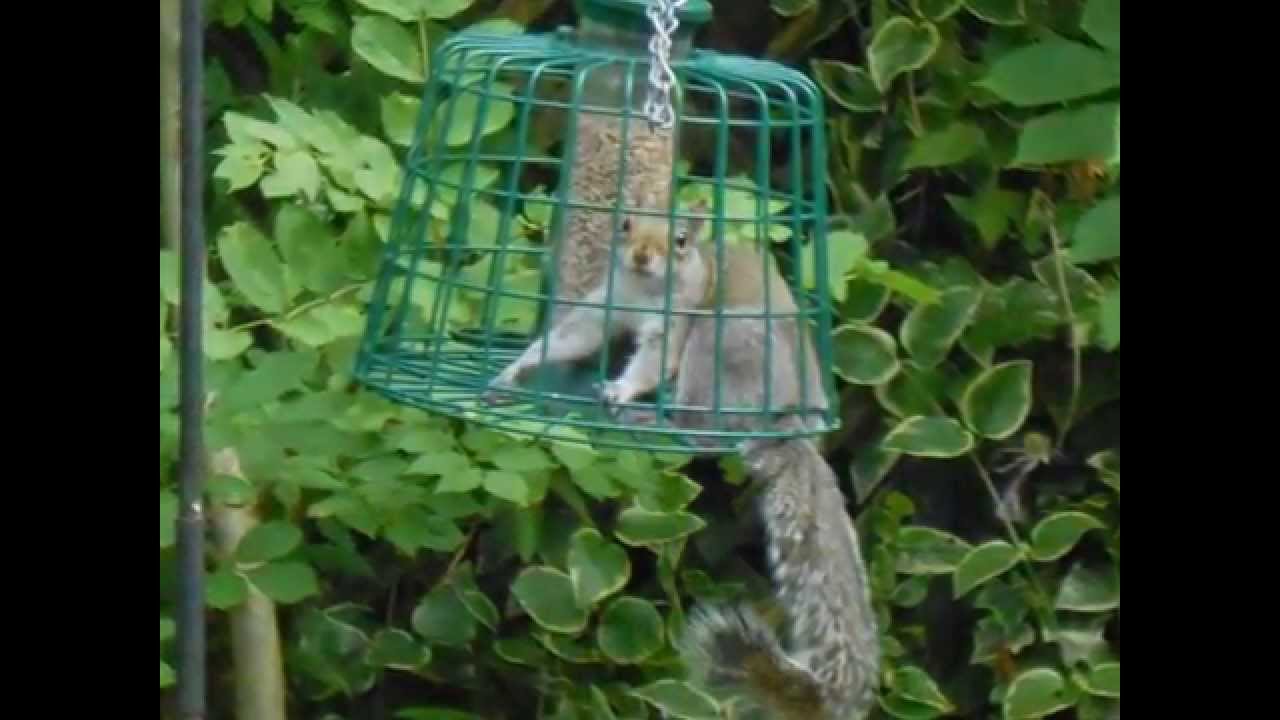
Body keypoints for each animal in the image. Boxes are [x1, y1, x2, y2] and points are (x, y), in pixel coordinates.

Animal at [486, 203, 880, 720]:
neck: (646, 288)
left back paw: (658, 416)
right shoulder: (607, 303)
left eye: (679, 241)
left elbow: (652, 361)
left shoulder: (675, 322)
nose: (641, 256)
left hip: (719, 341)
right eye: (626, 225)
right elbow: (572, 336)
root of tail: (788, 421)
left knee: (700, 428)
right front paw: (513, 372)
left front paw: (620, 390)